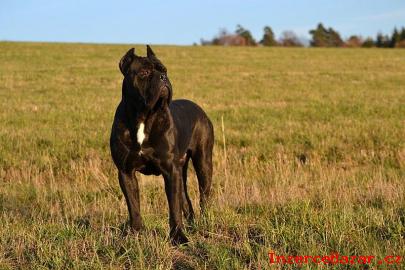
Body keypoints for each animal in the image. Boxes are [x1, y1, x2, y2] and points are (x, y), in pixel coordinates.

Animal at [109, 46, 213, 245]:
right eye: (144, 72)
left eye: (164, 70)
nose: (163, 78)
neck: (144, 116)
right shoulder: (126, 172)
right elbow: (134, 206)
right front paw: (135, 234)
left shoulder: (170, 171)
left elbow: (174, 207)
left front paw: (178, 237)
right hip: (181, 170)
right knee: (185, 199)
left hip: (203, 162)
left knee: (204, 195)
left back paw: (204, 222)